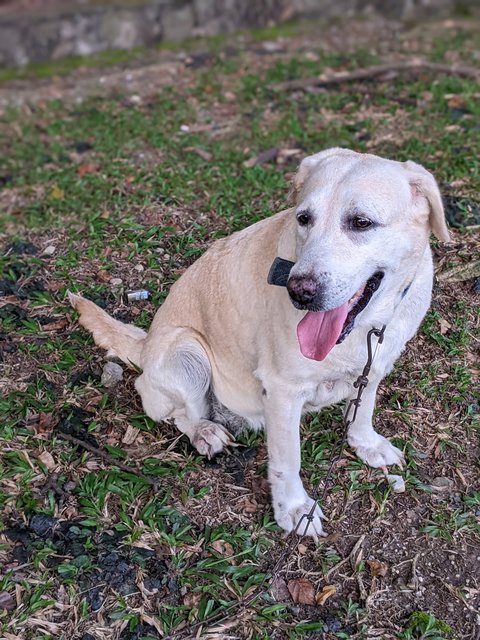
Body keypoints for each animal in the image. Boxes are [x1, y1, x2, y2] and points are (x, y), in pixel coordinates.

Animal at [70, 148, 450, 536]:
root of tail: (145, 346)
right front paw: (294, 509)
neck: (369, 322)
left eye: (361, 222)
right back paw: (205, 431)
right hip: (187, 352)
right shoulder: (282, 389)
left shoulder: (374, 364)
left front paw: (366, 443)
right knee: (168, 405)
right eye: (304, 219)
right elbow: (288, 459)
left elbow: (364, 408)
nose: (299, 291)